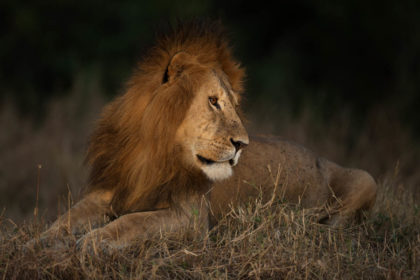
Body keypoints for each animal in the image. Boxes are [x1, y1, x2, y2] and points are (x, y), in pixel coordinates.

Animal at [37, 21, 378, 249]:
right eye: (213, 101)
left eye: (235, 106)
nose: (242, 144)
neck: (155, 152)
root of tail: (323, 158)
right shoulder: (108, 192)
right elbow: (65, 219)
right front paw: (39, 243)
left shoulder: (190, 217)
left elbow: (134, 221)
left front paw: (93, 241)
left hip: (366, 179)